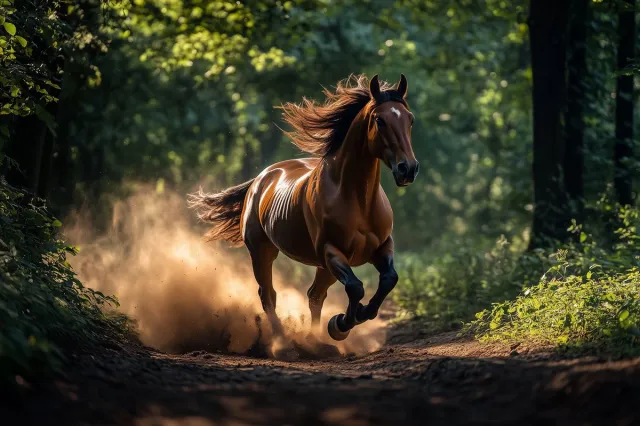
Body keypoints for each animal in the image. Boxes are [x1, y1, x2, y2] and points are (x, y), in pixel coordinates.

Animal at [189, 74, 418, 342]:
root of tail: (261, 178)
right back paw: (282, 339)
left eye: (410, 119)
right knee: (269, 295)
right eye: (379, 120)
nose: (408, 169)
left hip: (319, 266)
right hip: (263, 252)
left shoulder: (382, 246)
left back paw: (315, 338)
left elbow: (389, 279)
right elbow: (355, 287)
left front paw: (352, 318)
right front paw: (341, 324)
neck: (357, 200)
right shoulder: (332, 251)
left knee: (314, 295)